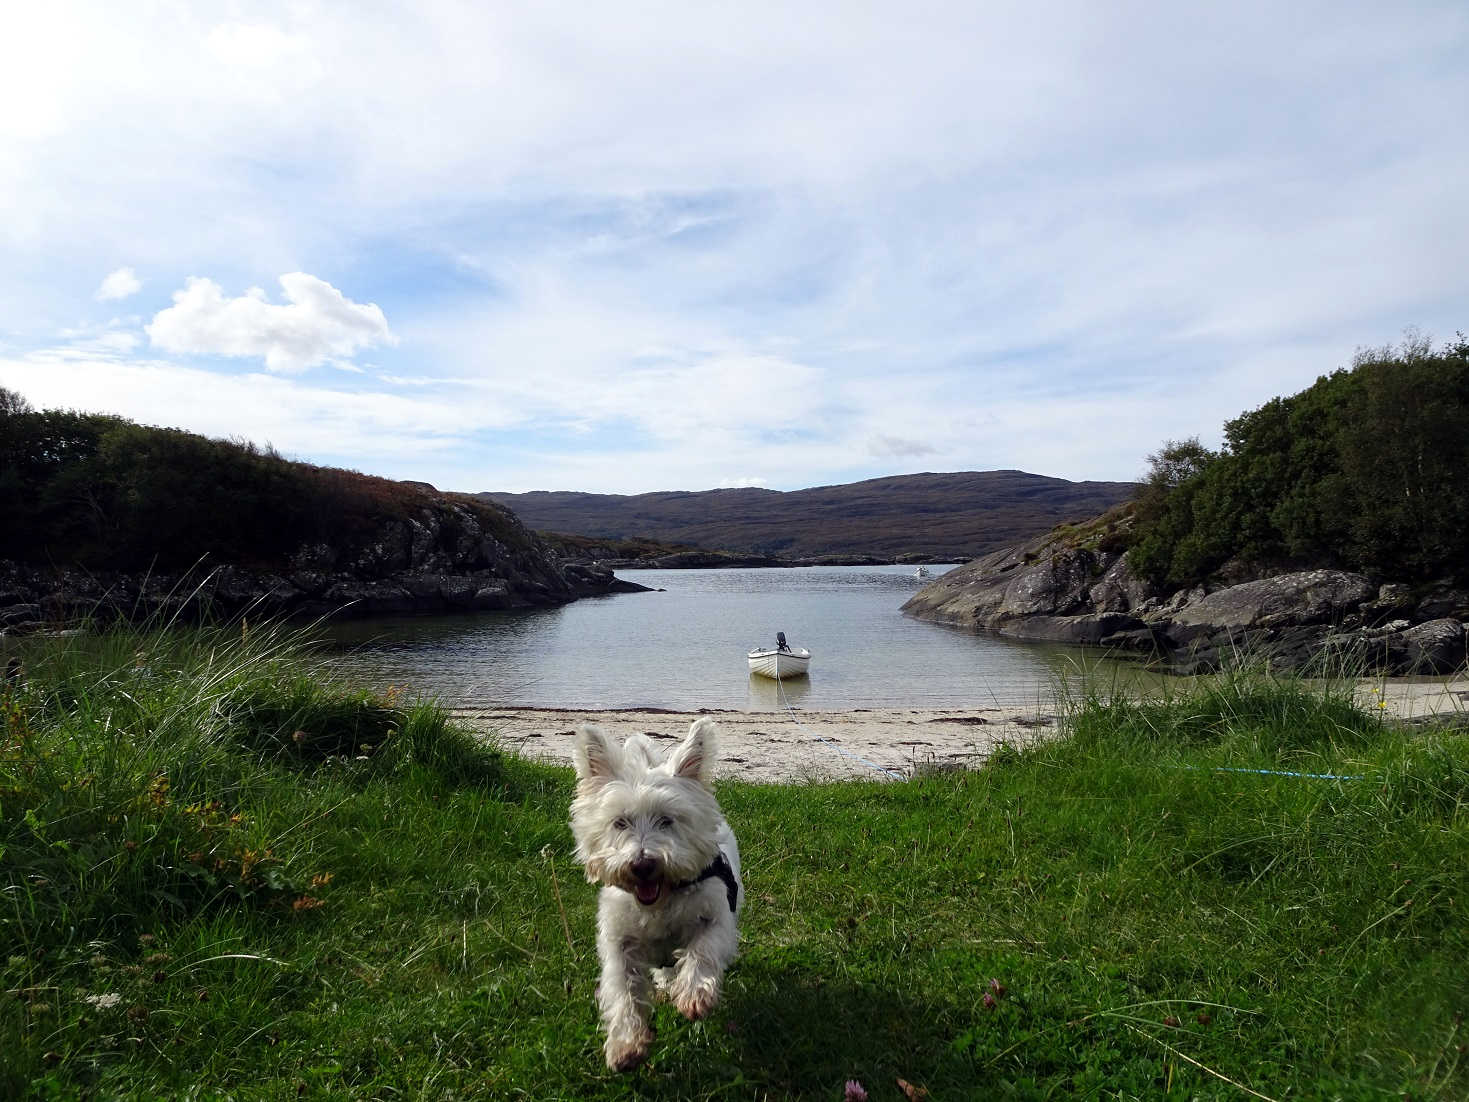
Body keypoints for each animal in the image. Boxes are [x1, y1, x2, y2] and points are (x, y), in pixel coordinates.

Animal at [567, 719, 740, 1075]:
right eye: (620, 822)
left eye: (667, 820)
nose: (642, 864)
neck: (659, 902)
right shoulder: (619, 941)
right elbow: (623, 990)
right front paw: (625, 1044)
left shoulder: (716, 914)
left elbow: (703, 950)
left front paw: (694, 995)